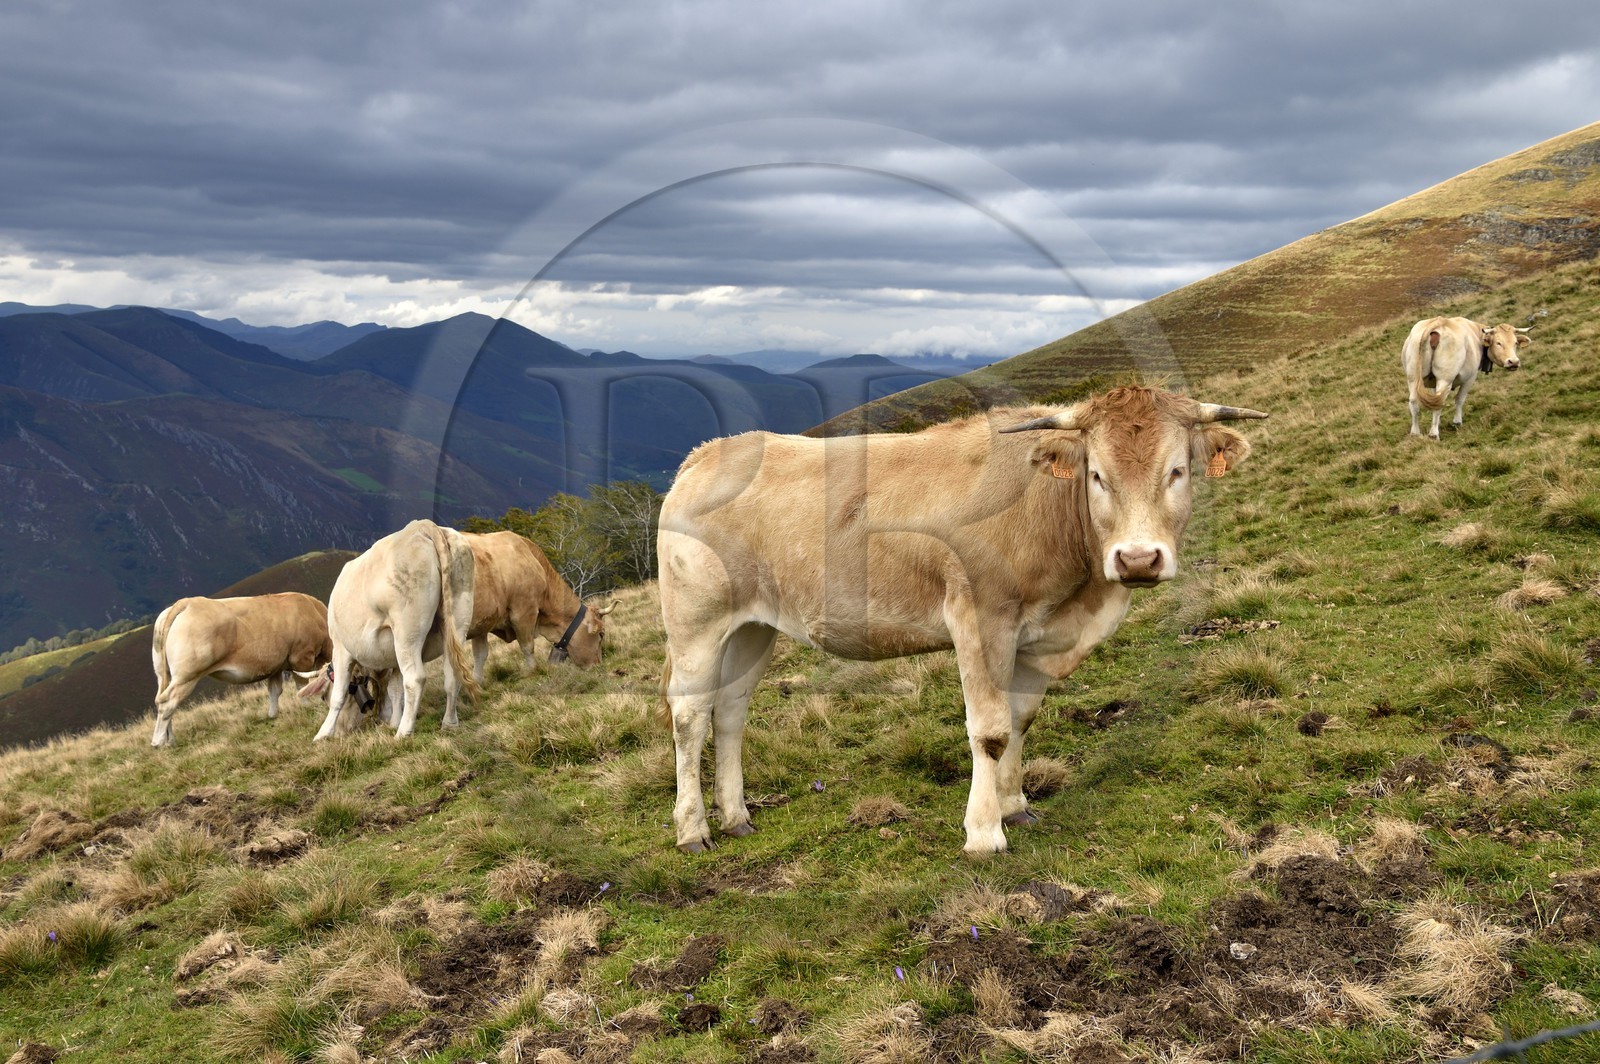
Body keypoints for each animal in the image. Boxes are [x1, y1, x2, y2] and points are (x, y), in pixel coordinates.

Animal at [150, 592, 331, 747]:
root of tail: (187, 602)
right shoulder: (301, 656)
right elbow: (301, 685)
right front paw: (307, 706)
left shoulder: (275, 667)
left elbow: (274, 690)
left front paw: (273, 714)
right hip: (187, 675)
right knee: (168, 702)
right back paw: (158, 741)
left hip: (163, 674)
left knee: (162, 700)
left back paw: (170, 740)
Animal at [305, 519, 481, 740]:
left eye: (322, 697)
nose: (340, 732)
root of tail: (420, 526)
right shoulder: (393, 659)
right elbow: (396, 690)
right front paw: (394, 720)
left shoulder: (341, 649)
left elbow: (339, 694)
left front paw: (322, 733)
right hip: (458, 618)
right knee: (451, 674)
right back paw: (449, 723)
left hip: (407, 631)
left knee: (415, 679)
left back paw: (403, 732)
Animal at [461, 530, 617, 680]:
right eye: (601, 634)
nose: (597, 665)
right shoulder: (523, 611)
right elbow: (527, 646)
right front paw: (534, 671)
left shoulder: (483, 623)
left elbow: (480, 655)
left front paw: (478, 683)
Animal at [657, 385, 1266, 857]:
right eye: (1097, 475)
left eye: (1177, 471)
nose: (1138, 559)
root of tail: (708, 453)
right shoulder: (979, 619)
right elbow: (990, 730)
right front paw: (984, 833)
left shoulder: (1036, 634)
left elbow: (1020, 719)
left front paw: (1016, 806)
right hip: (696, 621)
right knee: (690, 716)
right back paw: (693, 831)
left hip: (754, 626)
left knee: (730, 712)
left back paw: (737, 816)